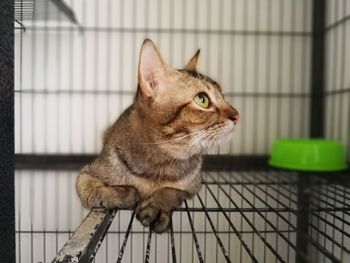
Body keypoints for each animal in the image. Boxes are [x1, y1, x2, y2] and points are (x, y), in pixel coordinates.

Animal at [77, 39, 239, 233]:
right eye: (202, 100)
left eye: (223, 96)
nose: (237, 115)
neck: (159, 165)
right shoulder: (85, 174)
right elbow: (91, 188)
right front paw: (125, 194)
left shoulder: (194, 185)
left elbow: (171, 191)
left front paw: (157, 203)